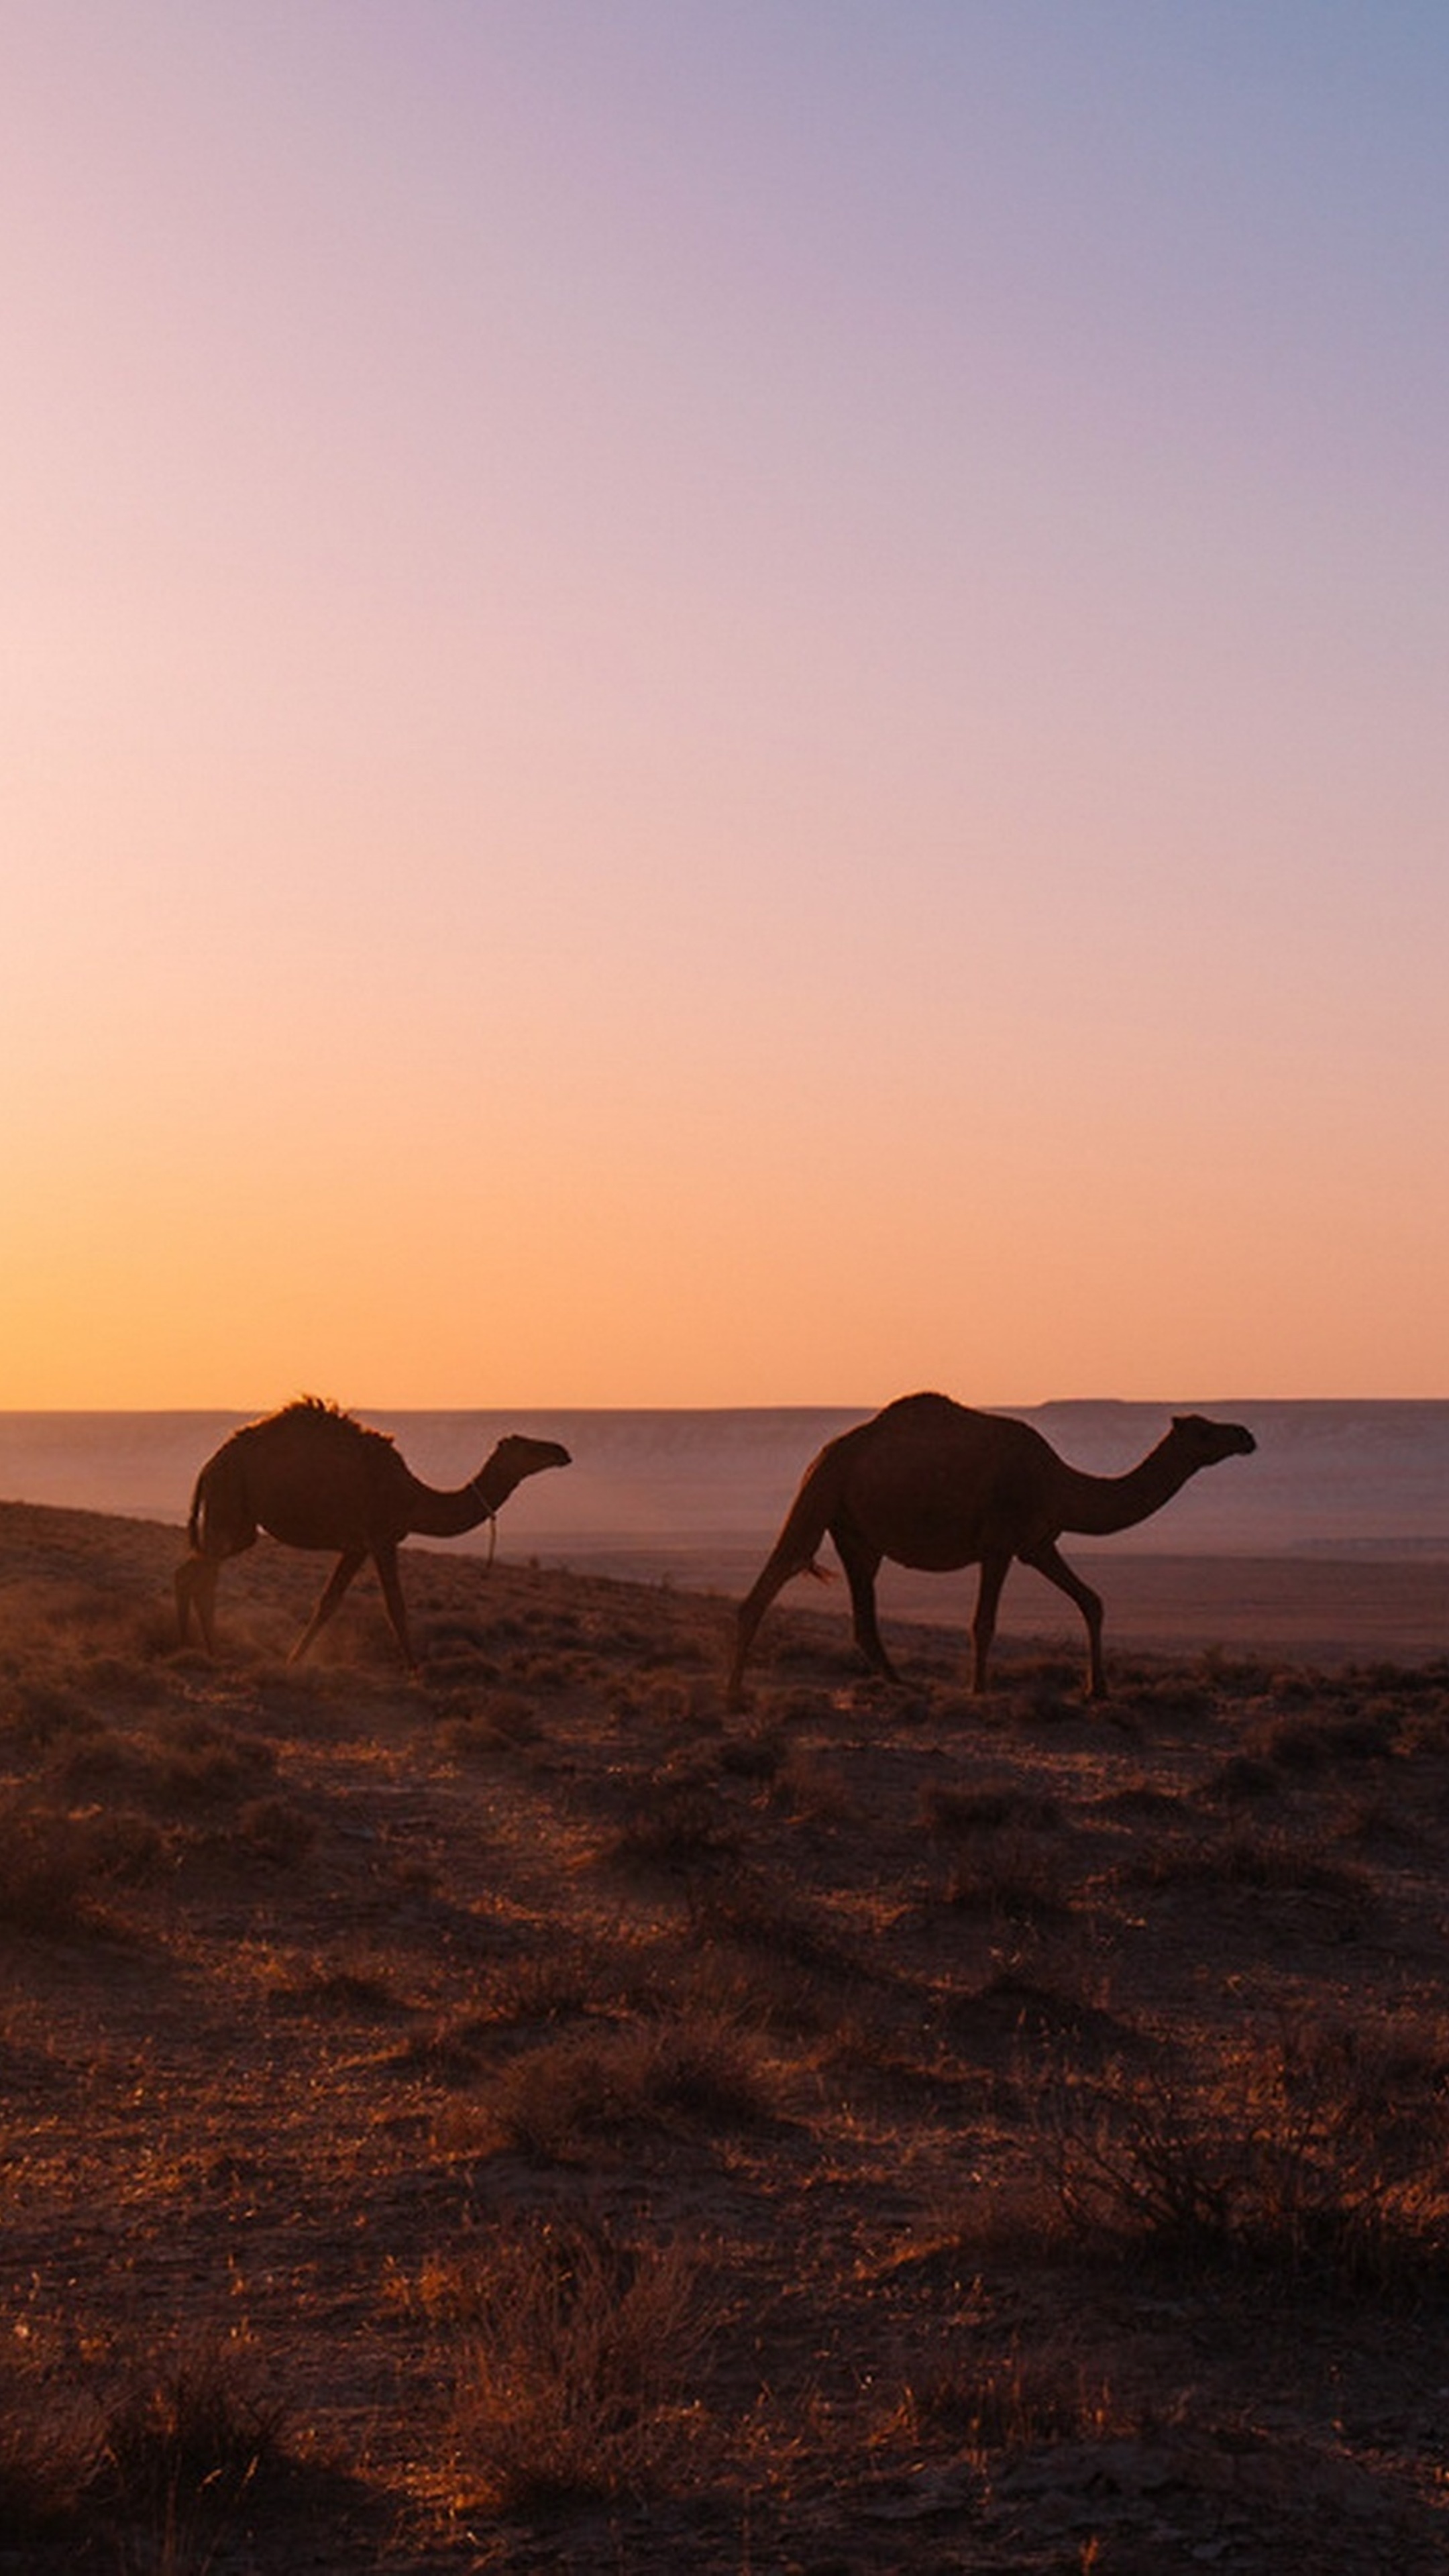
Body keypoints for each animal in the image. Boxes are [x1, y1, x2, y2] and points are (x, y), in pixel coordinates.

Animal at [175, 1398, 571, 1669]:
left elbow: (328, 1603)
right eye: (528, 1446)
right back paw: (206, 1651)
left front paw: (293, 1660)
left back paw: (190, 1645)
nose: (562, 1451)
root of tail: (211, 1464)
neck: (413, 1496)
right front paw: (414, 1670)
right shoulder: (382, 1537)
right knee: (201, 1574)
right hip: (228, 1503)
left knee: (192, 1570)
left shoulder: (357, 1546)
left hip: (239, 1521)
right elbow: (396, 1605)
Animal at [727, 1393, 1256, 1706]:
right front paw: (979, 1689)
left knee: (863, 1615)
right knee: (780, 1569)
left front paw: (1098, 1689)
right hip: (821, 1495)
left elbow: (1092, 1601)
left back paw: (905, 1686)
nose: (1246, 1435)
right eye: (1205, 1430)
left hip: (858, 1534)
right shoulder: (999, 1543)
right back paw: (733, 1692)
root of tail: (824, 1453)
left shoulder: (1038, 1543)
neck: (1059, 1483)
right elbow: (984, 1623)